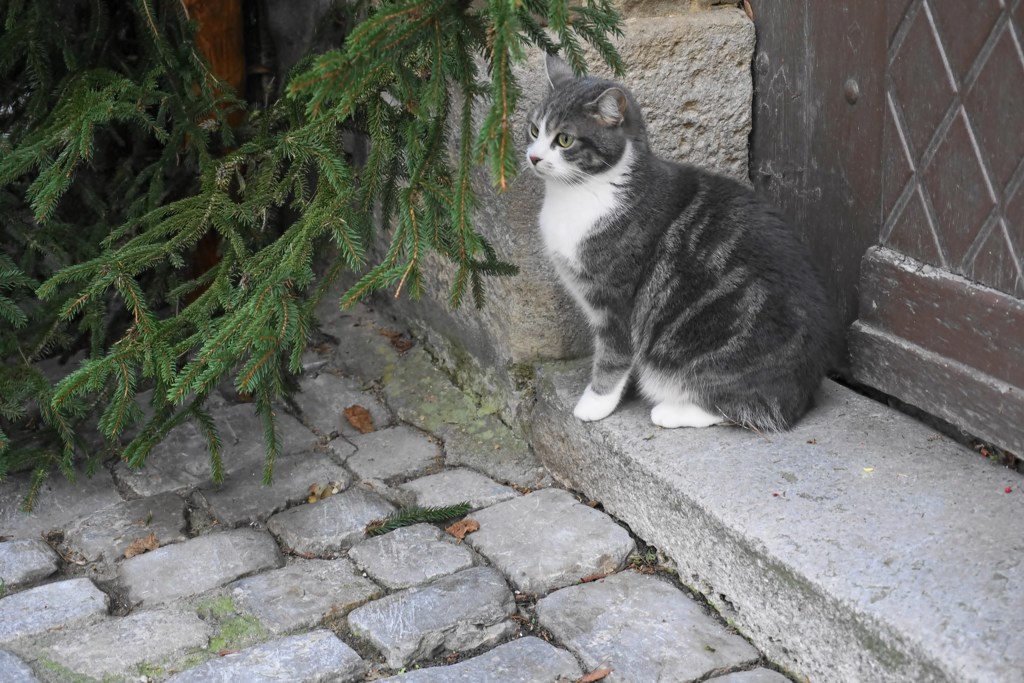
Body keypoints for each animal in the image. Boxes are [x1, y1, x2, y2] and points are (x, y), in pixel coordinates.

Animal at [524, 56, 835, 432]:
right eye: (534, 130)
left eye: (565, 139)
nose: (534, 157)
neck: (585, 192)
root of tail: (806, 389)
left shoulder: (616, 301)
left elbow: (613, 356)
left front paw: (595, 402)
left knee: (753, 408)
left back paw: (671, 410)